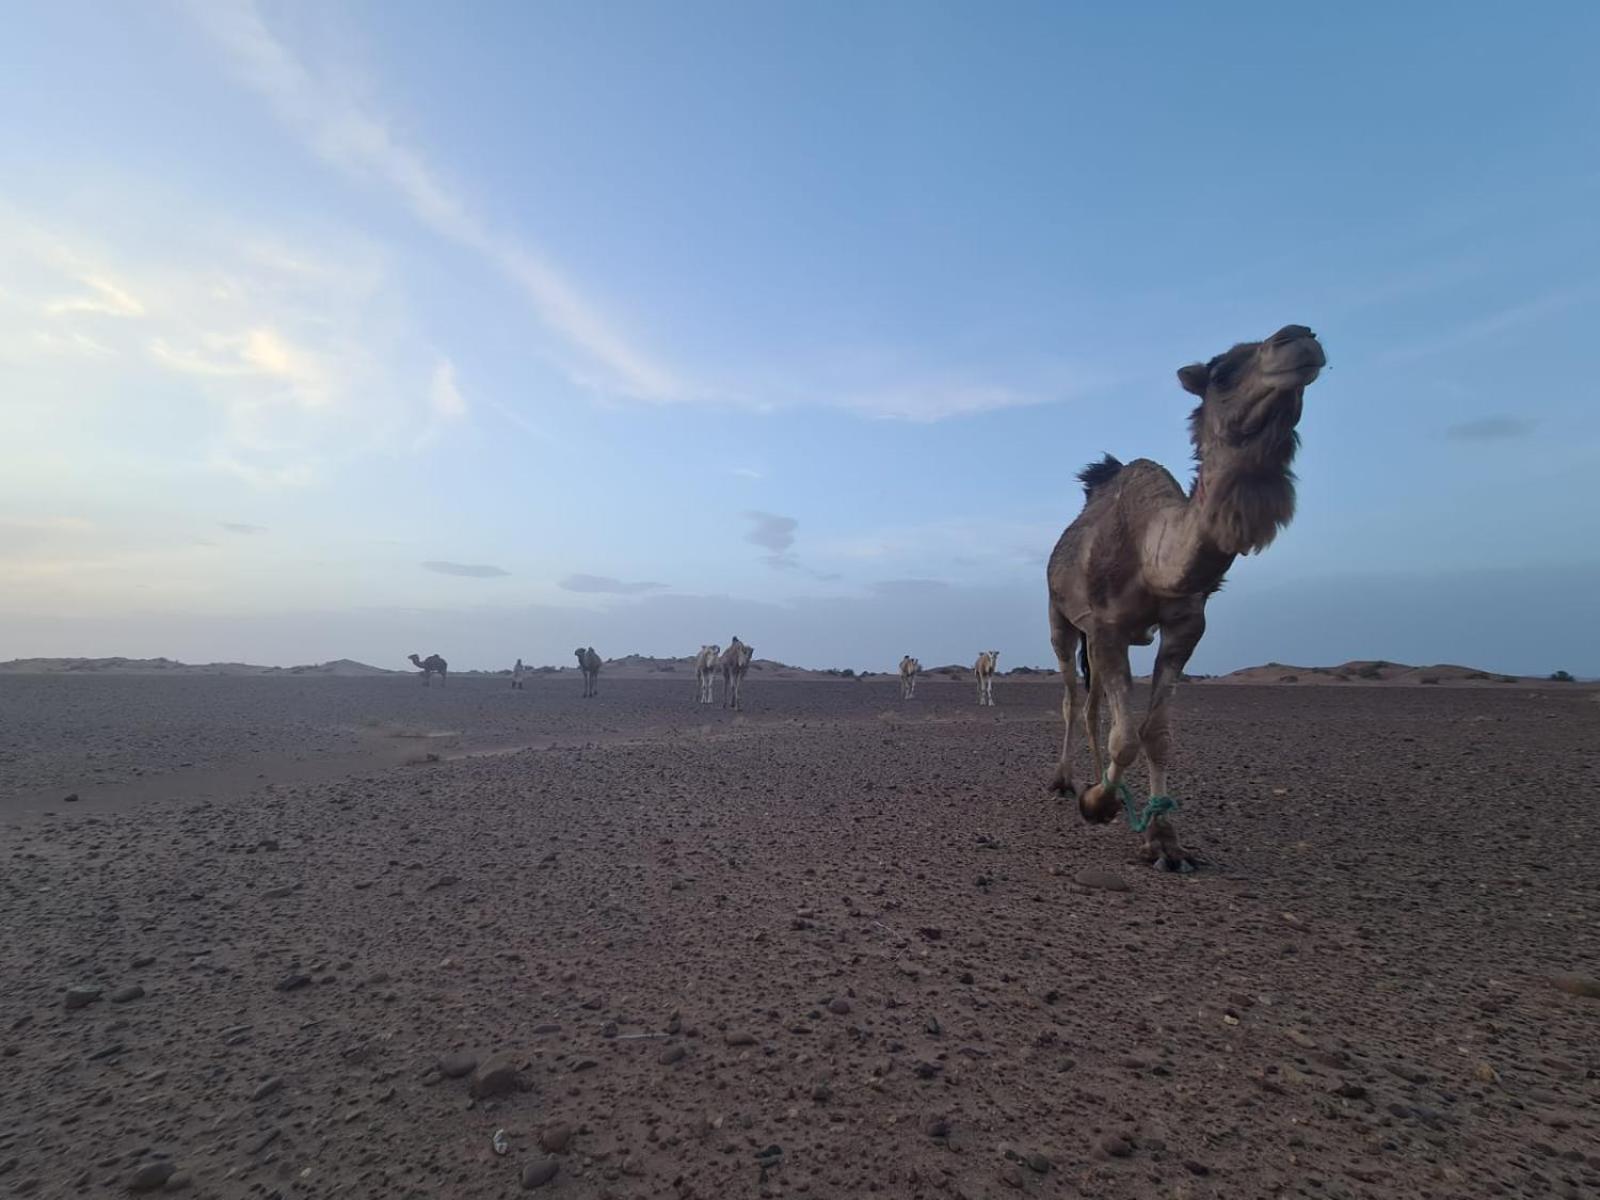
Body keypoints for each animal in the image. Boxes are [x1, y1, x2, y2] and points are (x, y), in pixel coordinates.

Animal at [1036, 326, 1324, 876]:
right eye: (1222, 372)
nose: (1299, 338)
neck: (1153, 555)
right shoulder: (1106, 626)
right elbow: (1126, 736)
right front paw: (1097, 804)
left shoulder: (1186, 626)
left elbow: (1156, 733)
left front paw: (1164, 842)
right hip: (1061, 619)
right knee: (1071, 698)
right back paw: (1066, 781)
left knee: (1094, 706)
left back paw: (1097, 777)